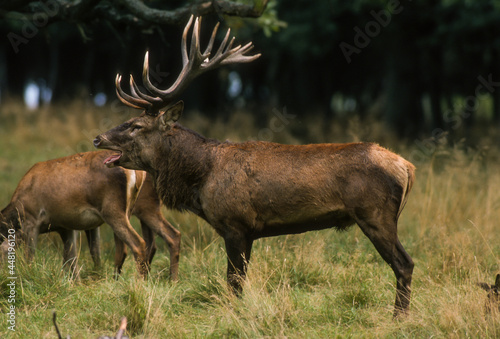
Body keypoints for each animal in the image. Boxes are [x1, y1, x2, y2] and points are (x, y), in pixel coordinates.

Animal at [0, 151, 180, 278]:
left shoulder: (32, 219)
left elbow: (29, 257)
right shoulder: (66, 227)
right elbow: (74, 258)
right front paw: (76, 283)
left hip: (117, 209)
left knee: (138, 243)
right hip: (132, 210)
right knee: (162, 238)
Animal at [94, 15, 414, 318]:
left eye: (136, 126)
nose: (99, 138)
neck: (202, 179)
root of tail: (407, 167)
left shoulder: (235, 223)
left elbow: (233, 281)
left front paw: (233, 314)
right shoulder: (248, 232)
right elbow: (240, 280)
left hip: (375, 213)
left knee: (405, 263)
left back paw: (399, 316)